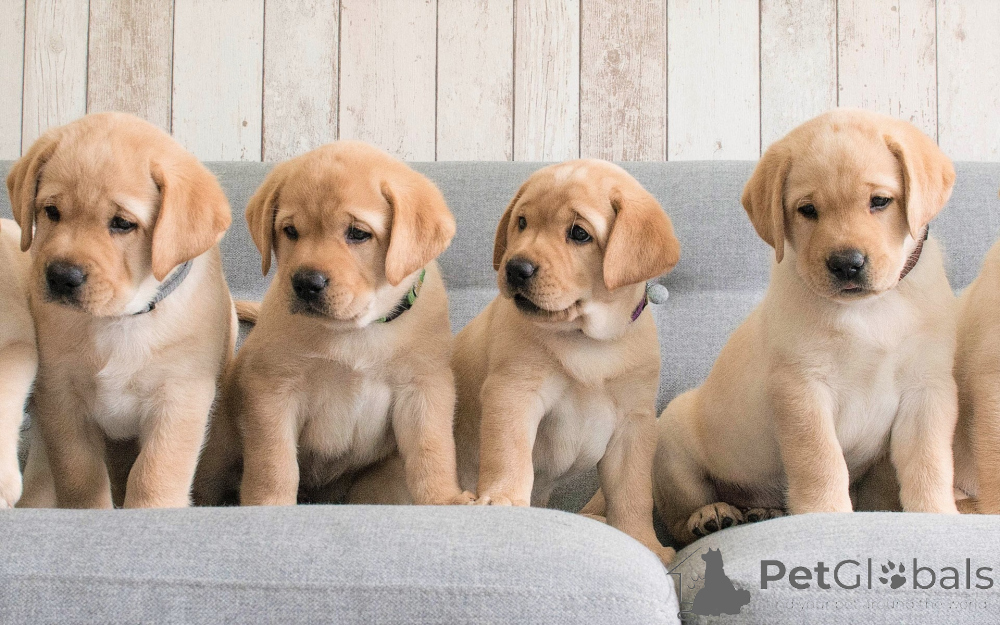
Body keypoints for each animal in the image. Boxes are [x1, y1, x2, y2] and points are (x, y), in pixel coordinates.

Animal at [7, 112, 235, 508]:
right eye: (51, 212)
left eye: (122, 223)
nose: (61, 276)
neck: (119, 319)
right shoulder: (60, 397)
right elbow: (79, 473)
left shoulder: (180, 398)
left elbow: (155, 473)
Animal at [193, 141, 473, 507]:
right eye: (290, 231)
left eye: (357, 233)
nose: (306, 283)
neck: (357, 332)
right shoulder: (273, 390)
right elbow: (274, 463)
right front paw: (269, 505)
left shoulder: (423, 388)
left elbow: (432, 451)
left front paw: (444, 499)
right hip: (218, 452)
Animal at [452, 160, 680, 565]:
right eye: (522, 223)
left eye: (578, 233)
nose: (516, 268)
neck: (586, 339)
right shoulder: (513, 392)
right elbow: (509, 453)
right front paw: (503, 499)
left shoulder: (634, 423)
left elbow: (634, 493)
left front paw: (644, 542)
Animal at [652, 109, 959, 546]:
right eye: (808, 210)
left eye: (880, 201)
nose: (847, 263)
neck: (869, 310)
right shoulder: (801, 388)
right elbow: (820, 460)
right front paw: (824, 514)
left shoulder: (928, 389)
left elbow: (929, 460)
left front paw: (936, 514)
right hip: (673, 446)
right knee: (679, 520)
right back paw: (711, 515)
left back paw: (762, 511)